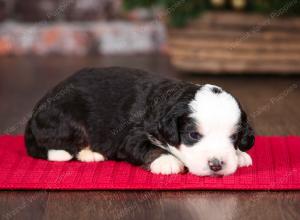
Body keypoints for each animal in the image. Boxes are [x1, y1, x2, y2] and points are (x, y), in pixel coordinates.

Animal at [24, 66, 254, 176]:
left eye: (234, 137)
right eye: (193, 135)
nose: (217, 165)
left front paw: (240, 155)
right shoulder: (130, 136)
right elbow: (147, 146)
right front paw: (167, 161)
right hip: (65, 117)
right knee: (55, 146)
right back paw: (88, 154)